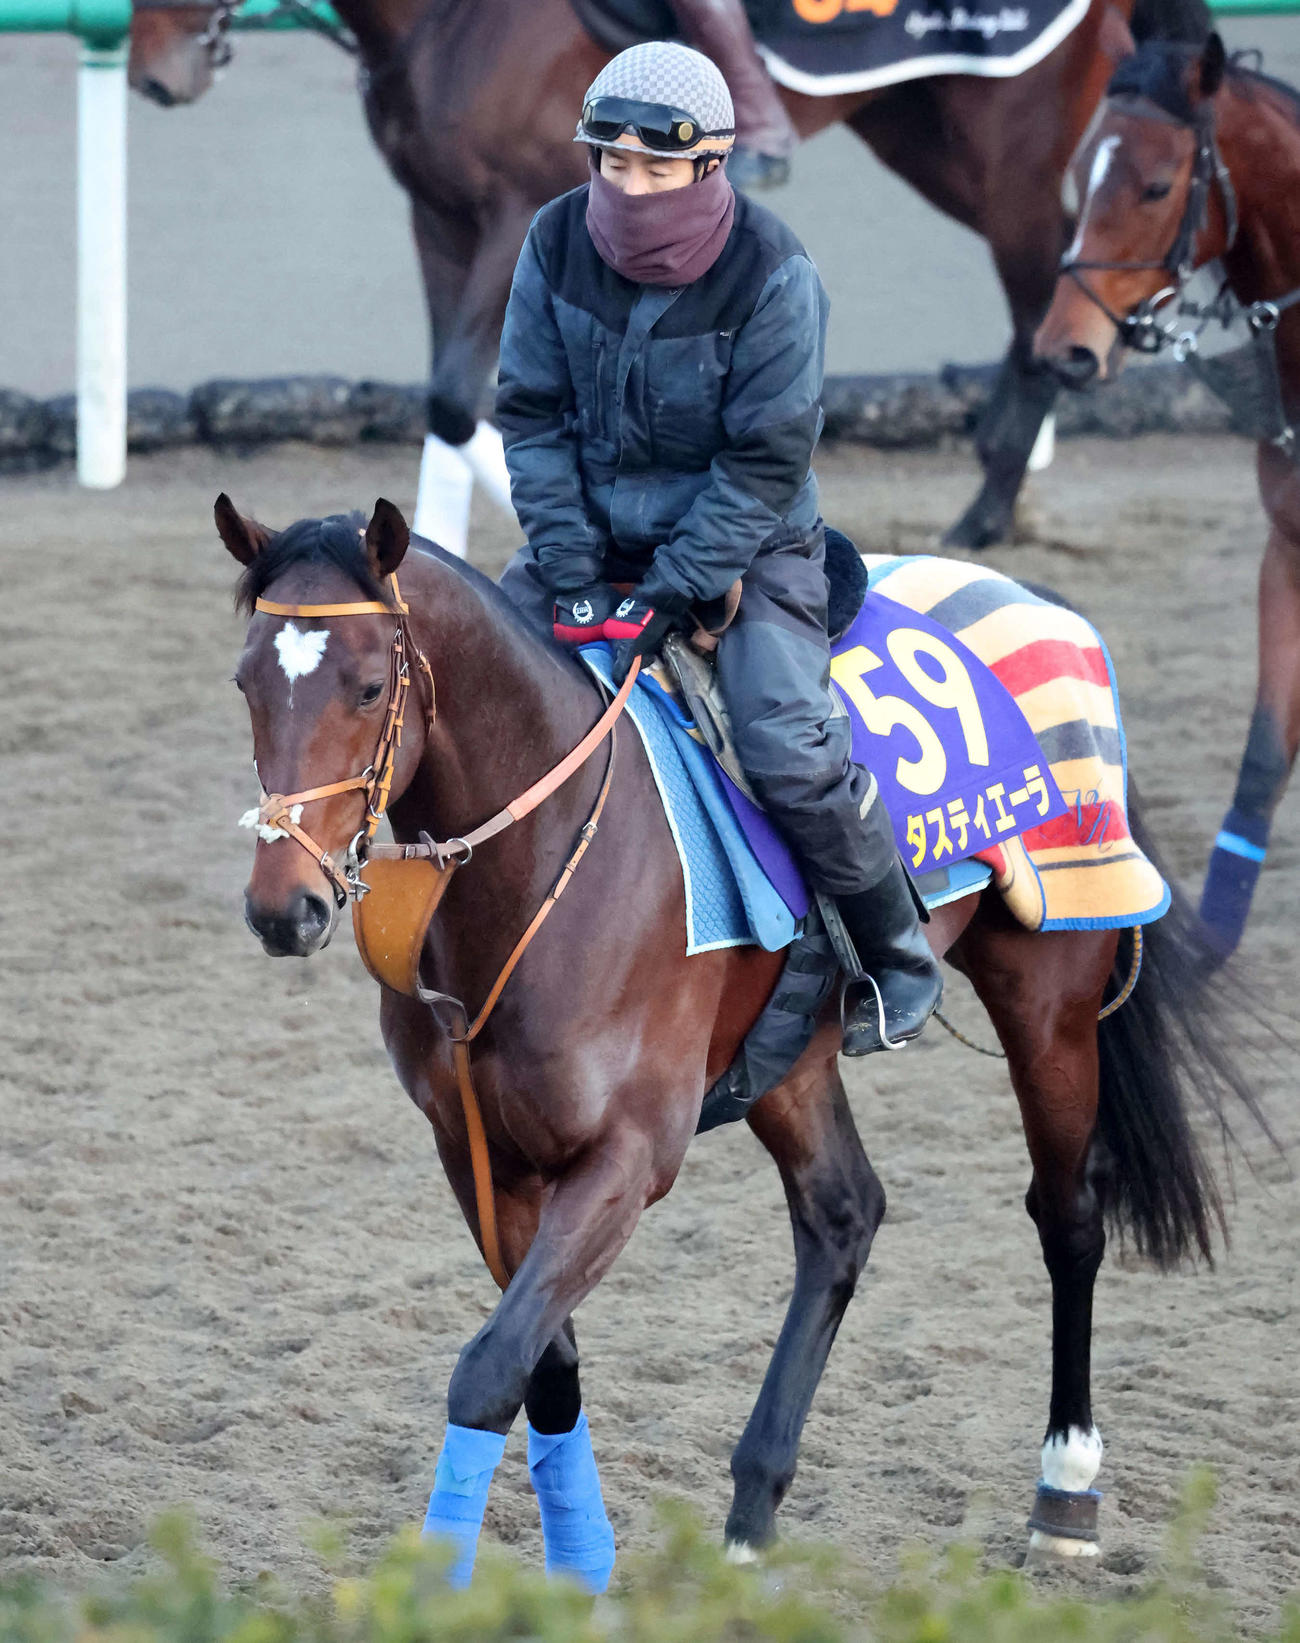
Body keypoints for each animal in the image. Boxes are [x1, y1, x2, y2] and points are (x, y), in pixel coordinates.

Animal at [135, 0, 1211, 554]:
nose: (154, 71)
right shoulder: (437, 215)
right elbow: (450, 397)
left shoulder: (515, 207)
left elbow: (456, 393)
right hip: (930, 140)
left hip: (1011, 159)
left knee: (1045, 305)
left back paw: (986, 507)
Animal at [218, 490, 1258, 1575]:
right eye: (245, 680)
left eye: (369, 684)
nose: (282, 907)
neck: (542, 864)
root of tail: (1043, 601)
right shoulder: (477, 1155)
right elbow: (546, 1367)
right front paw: (582, 1568)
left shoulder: (627, 1155)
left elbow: (491, 1366)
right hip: (792, 1056)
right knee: (844, 1213)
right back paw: (752, 1513)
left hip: (1047, 997)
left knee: (1069, 1214)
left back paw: (1065, 1488)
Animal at [1033, 30, 1300, 963]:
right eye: (1079, 176)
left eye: (1155, 185)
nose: (1064, 348)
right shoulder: (1285, 553)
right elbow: (1262, 757)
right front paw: (1214, 938)